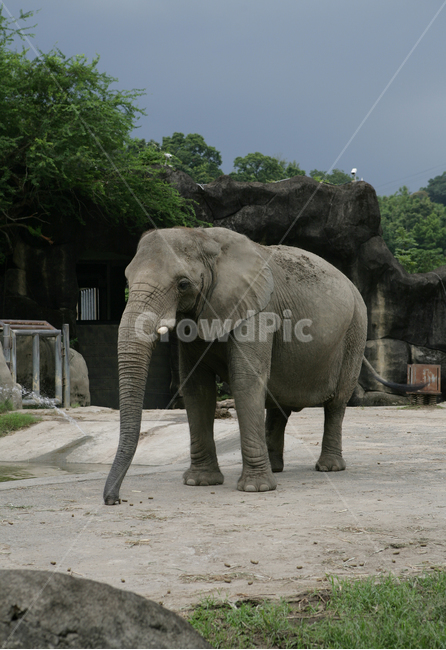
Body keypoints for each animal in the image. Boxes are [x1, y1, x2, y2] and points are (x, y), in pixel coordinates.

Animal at [103, 226, 406, 505]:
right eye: (126, 278)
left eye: (183, 284)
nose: (114, 500)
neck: (204, 238)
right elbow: (197, 386)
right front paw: (199, 482)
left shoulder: (258, 311)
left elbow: (245, 379)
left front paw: (255, 489)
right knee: (278, 401)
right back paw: (276, 468)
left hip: (355, 330)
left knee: (337, 403)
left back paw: (328, 467)